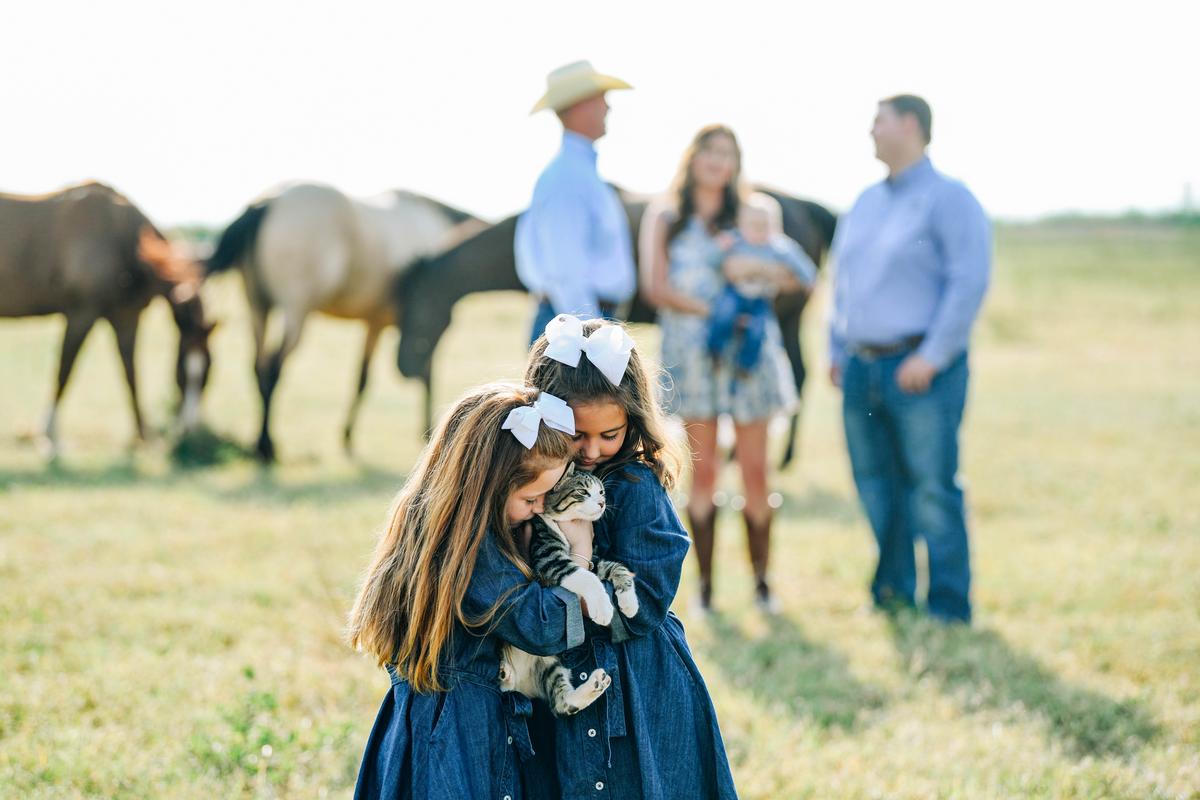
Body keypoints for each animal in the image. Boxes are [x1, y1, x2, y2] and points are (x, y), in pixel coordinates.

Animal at [0, 181, 213, 455]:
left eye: (208, 371)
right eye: (182, 371)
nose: (189, 429)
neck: (120, 237)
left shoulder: (126, 317)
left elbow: (131, 373)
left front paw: (143, 436)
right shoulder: (81, 314)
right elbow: (65, 369)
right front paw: (49, 438)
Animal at [205, 181, 482, 455]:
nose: (404, 371)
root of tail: (268, 202)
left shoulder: (375, 323)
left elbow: (362, 378)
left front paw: (347, 435)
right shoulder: (411, 330)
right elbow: (426, 377)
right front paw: (428, 430)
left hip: (257, 306)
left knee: (258, 365)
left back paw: (259, 440)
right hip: (295, 310)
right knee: (274, 367)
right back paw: (267, 444)